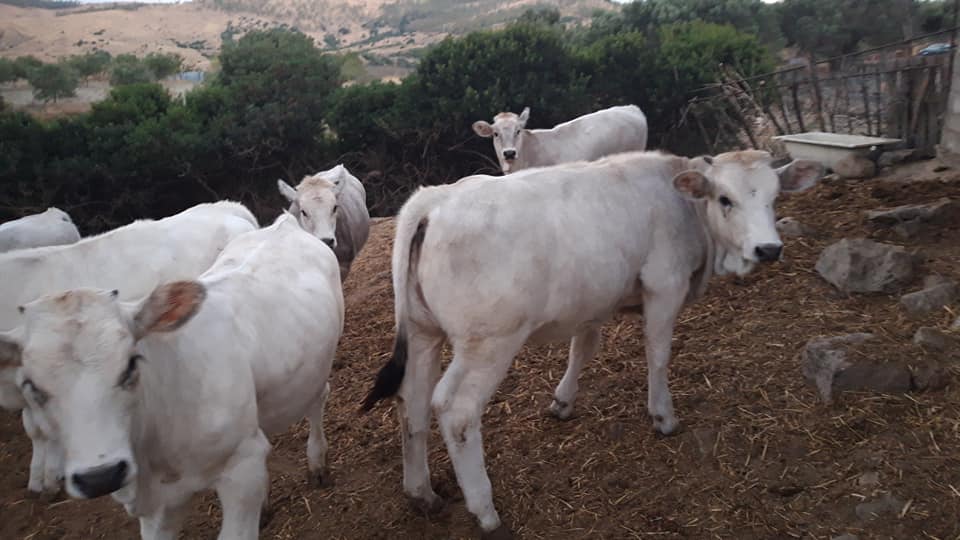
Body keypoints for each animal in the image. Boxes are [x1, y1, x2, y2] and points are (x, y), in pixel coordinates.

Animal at [360, 150, 824, 537]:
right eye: (725, 199)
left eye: (775, 197)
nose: (768, 249)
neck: (682, 204)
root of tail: (432, 200)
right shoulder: (665, 285)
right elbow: (658, 352)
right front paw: (663, 416)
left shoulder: (594, 299)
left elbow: (583, 348)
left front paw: (563, 401)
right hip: (488, 343)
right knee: (455, 411)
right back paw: (485, 510)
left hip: (424, 334)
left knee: (412, 402)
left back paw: (421, 493)